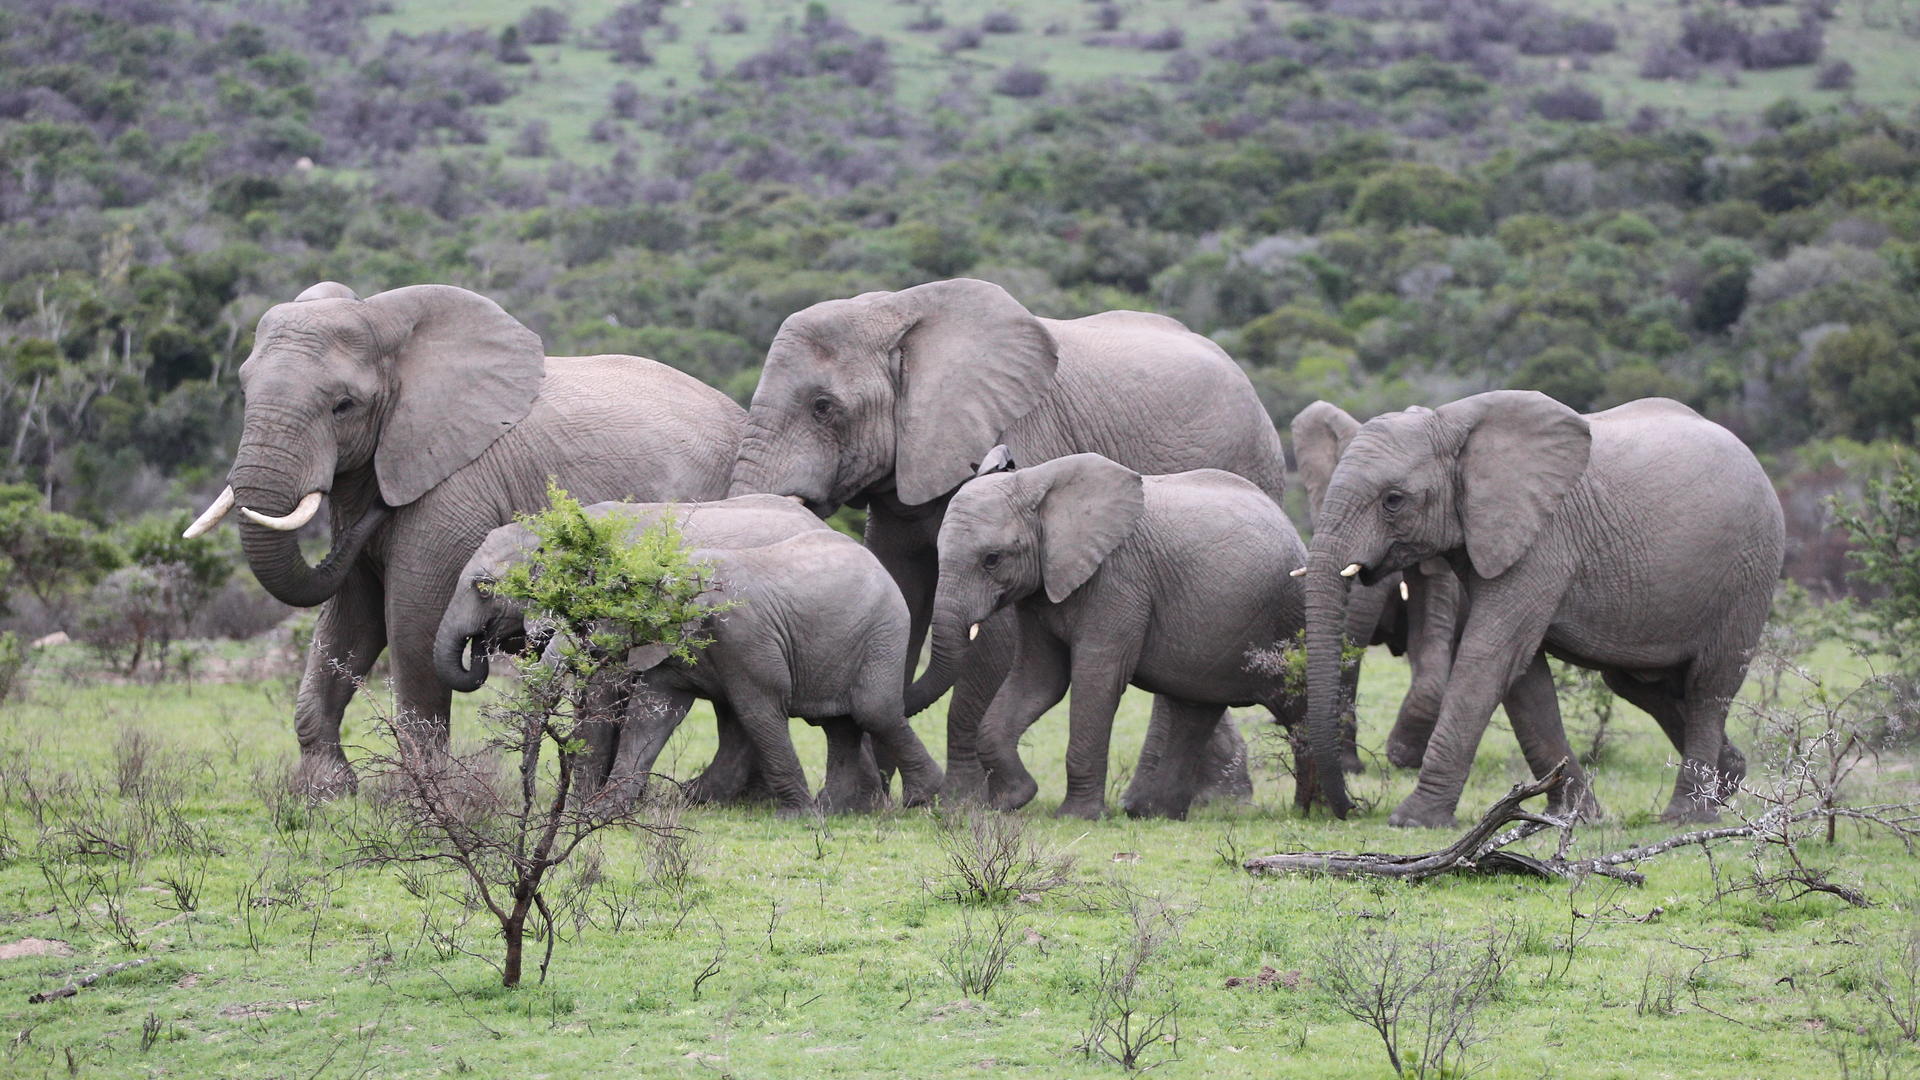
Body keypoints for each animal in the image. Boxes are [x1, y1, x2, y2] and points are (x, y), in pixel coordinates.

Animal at [182, 282, 742, 794]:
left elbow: (412, 619)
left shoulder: (453, 486)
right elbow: (350, 621)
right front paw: (325, 791)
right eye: (242, 390)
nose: (380, 508)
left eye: (343, 405)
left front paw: (415, 795)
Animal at [439, 498, 944, 814]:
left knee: (851, 709)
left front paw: (582, 804)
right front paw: (598, 807)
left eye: (482, 587)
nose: (481, 647)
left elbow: (604, 697)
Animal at [904, 453, 1314, 820]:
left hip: (1285, 618)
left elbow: (1096, 678)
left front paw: (1075, 817)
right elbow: (1040, 680)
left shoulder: (1118, 578)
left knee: (1293, 704)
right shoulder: (1042, 588)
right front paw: (1011, 801)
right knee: (1194, 710)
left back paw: (1313, 809)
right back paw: (1154, 814)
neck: (1037, 484)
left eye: (992, 559)